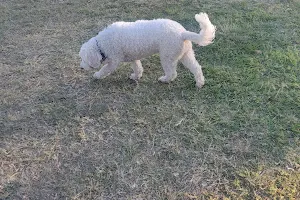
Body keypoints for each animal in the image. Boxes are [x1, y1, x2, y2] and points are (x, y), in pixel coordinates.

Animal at [79, 12, 216, 87]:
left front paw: (97, 75)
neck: (101, 44)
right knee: (196, 68)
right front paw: (136, 76)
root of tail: (183, 33)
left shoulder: (113, 62)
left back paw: (165, 80)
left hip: (167, 57)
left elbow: (104, 69)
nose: (81, 67)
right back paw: (199, 83)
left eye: (84, 59)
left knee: (172, 73)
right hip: (185, 55)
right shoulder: (133, 58)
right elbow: (137, 67)